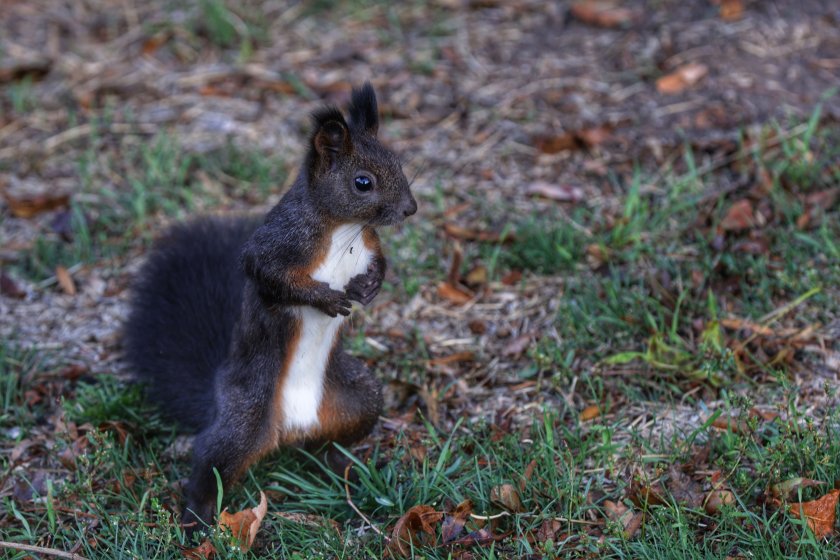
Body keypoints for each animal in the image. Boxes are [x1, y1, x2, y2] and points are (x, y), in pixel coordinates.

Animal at [121, 83, 416, 528]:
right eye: (362, 182)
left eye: (398, 162)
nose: (410, 209)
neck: (344, 229)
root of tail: (291, 428)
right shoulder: (279, 241)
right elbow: (266, 274)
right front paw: (325, 298)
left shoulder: (370, 245)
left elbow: (381, 262)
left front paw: (370, 287)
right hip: (245, 418)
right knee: (211, 458)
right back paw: (197, 517)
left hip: (360, 399)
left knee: (332, 440)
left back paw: (340, 466)